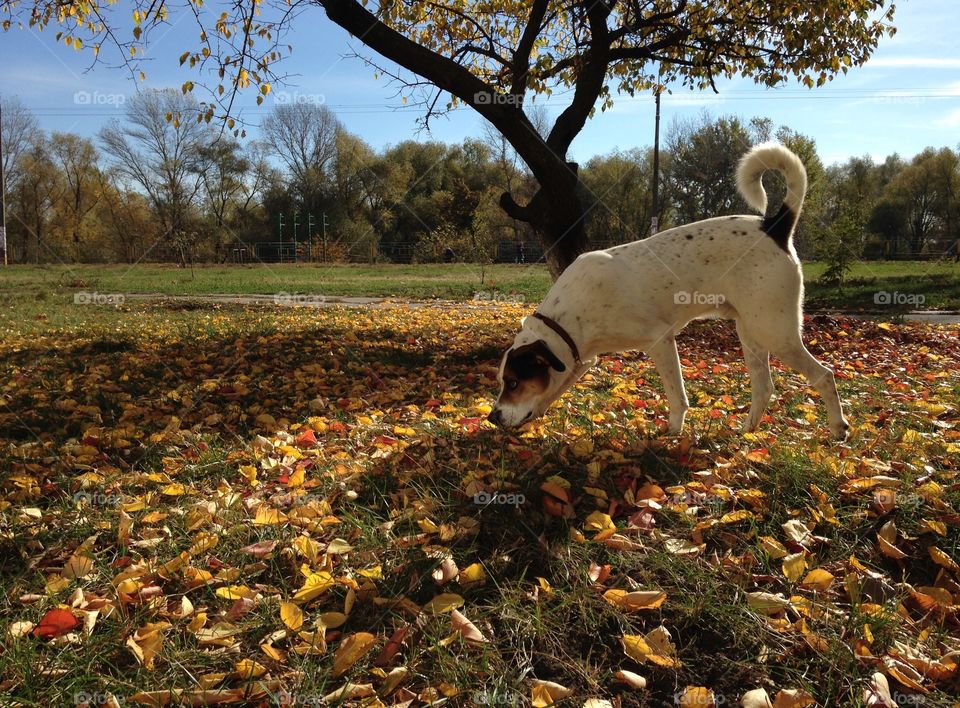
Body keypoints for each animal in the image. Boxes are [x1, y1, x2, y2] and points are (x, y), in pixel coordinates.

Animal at [492, 142, 852, 440]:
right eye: (502, 382)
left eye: (513, 382)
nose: (493, 418)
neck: (571, 316)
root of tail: (774, 226)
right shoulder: (583, 358)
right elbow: (556, 389)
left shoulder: (660, 341)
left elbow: (677, 397)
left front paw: (673, 432)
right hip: (750, 333)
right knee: (764, 388)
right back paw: (746, 432)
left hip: (776, 333)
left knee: (824, 376)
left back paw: (838, 428)